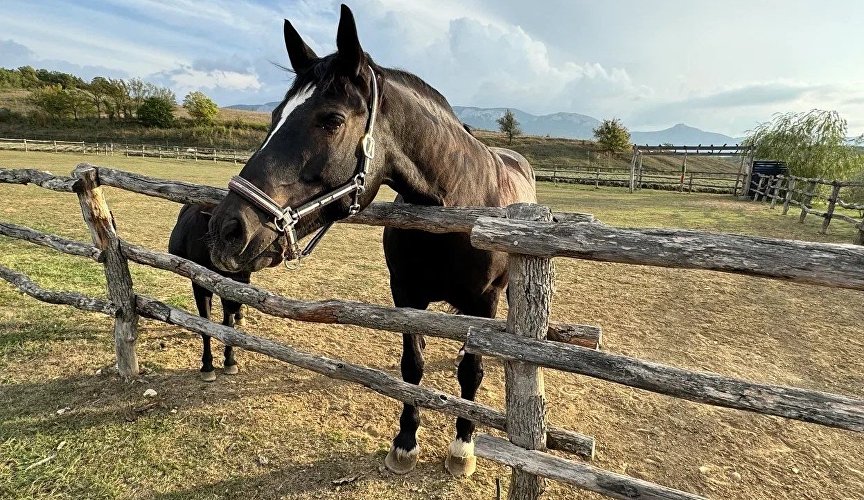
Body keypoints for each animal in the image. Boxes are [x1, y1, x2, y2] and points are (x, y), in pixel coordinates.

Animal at [168, 203, 250, 382]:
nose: (235, 304)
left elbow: (228, 325)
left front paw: (229, 361)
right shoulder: (200, 285)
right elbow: (205, 324)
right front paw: (207, 366)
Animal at [206, 4, 536, 476]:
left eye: (332, 120)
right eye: (274, 116)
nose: (227, 230)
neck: (457, 205)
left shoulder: (483, 303)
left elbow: (470, 373)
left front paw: (462, 449)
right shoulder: (406, 296)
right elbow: (412, 368)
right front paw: (406, 443)